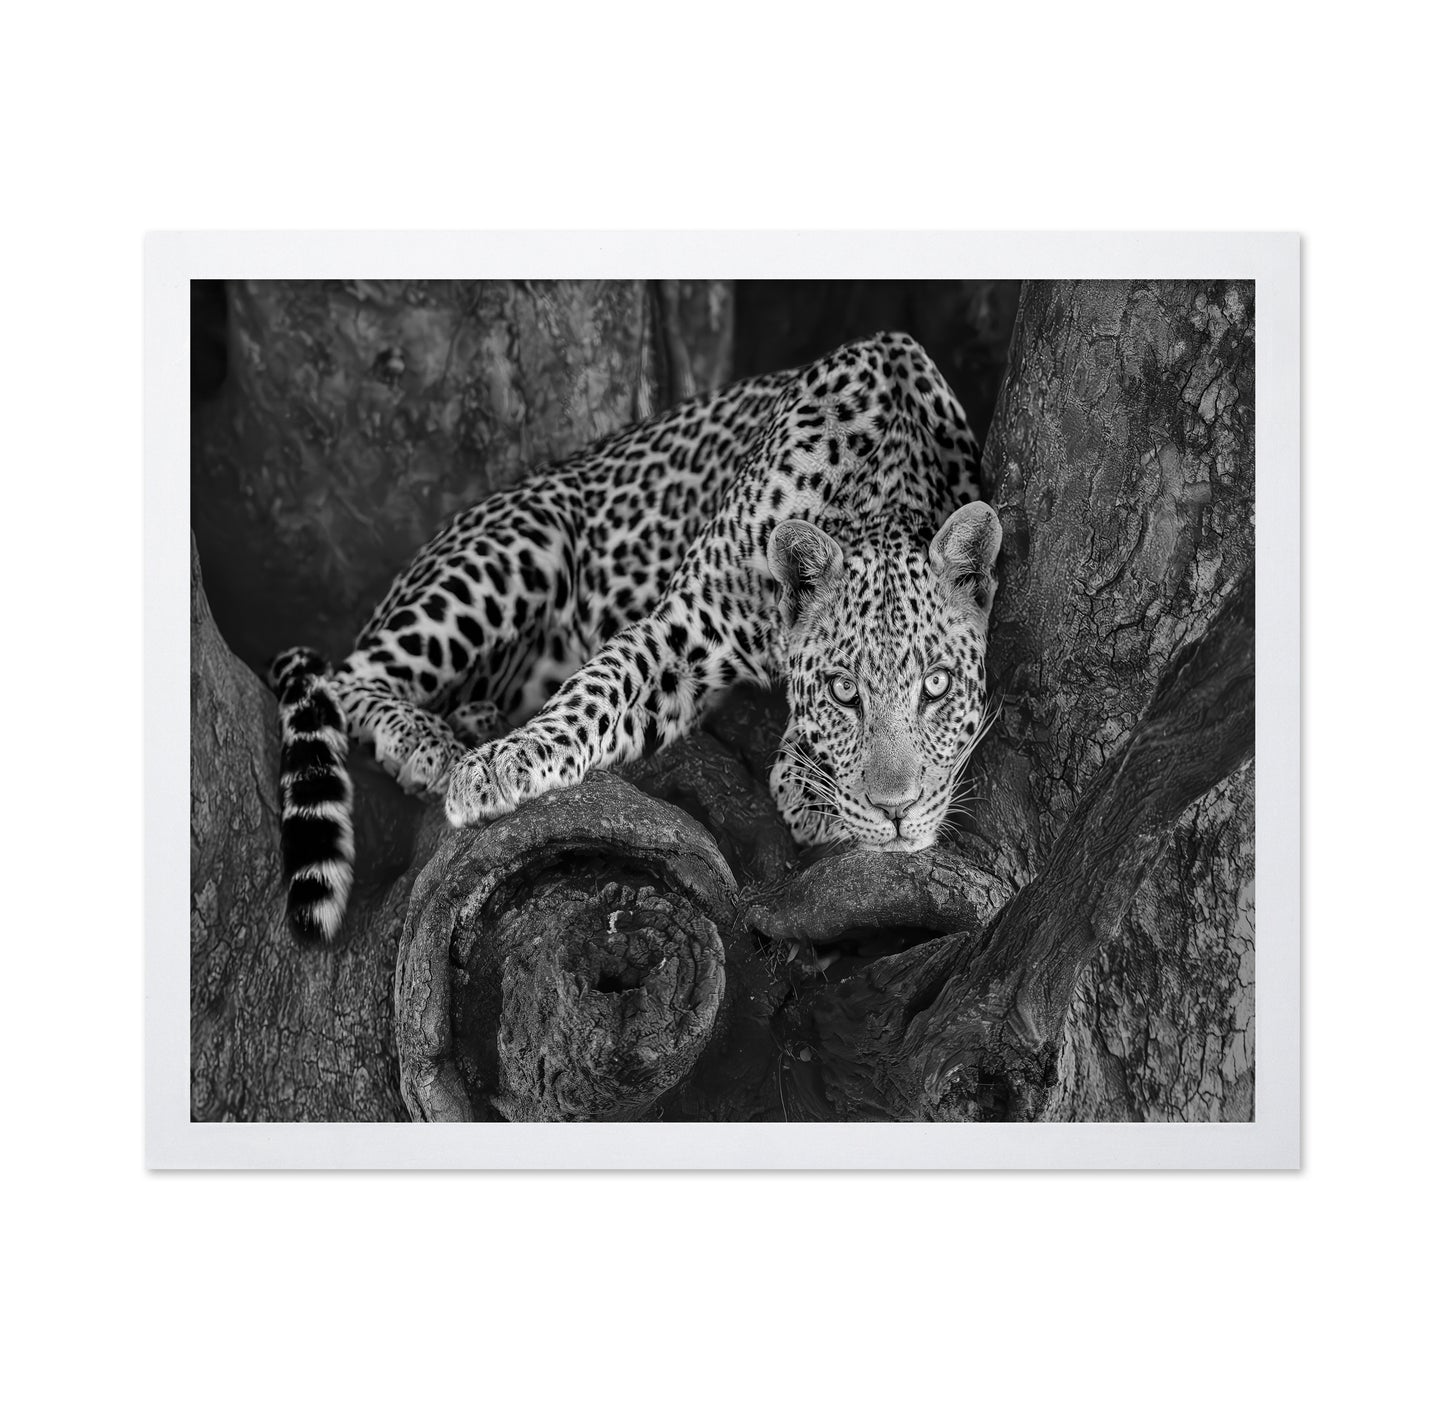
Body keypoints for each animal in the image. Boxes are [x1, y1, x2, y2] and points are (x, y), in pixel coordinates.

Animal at [269, 332, 1002, 944]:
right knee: (344, 676)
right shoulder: (680, 629)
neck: (880, 485)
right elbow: (594, 690)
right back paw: (427, 743)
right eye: (844, 692)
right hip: (518, 544)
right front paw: (501, 766)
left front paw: (807, 781)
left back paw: (472, 717)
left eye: (937, 686)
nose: (897, 812)